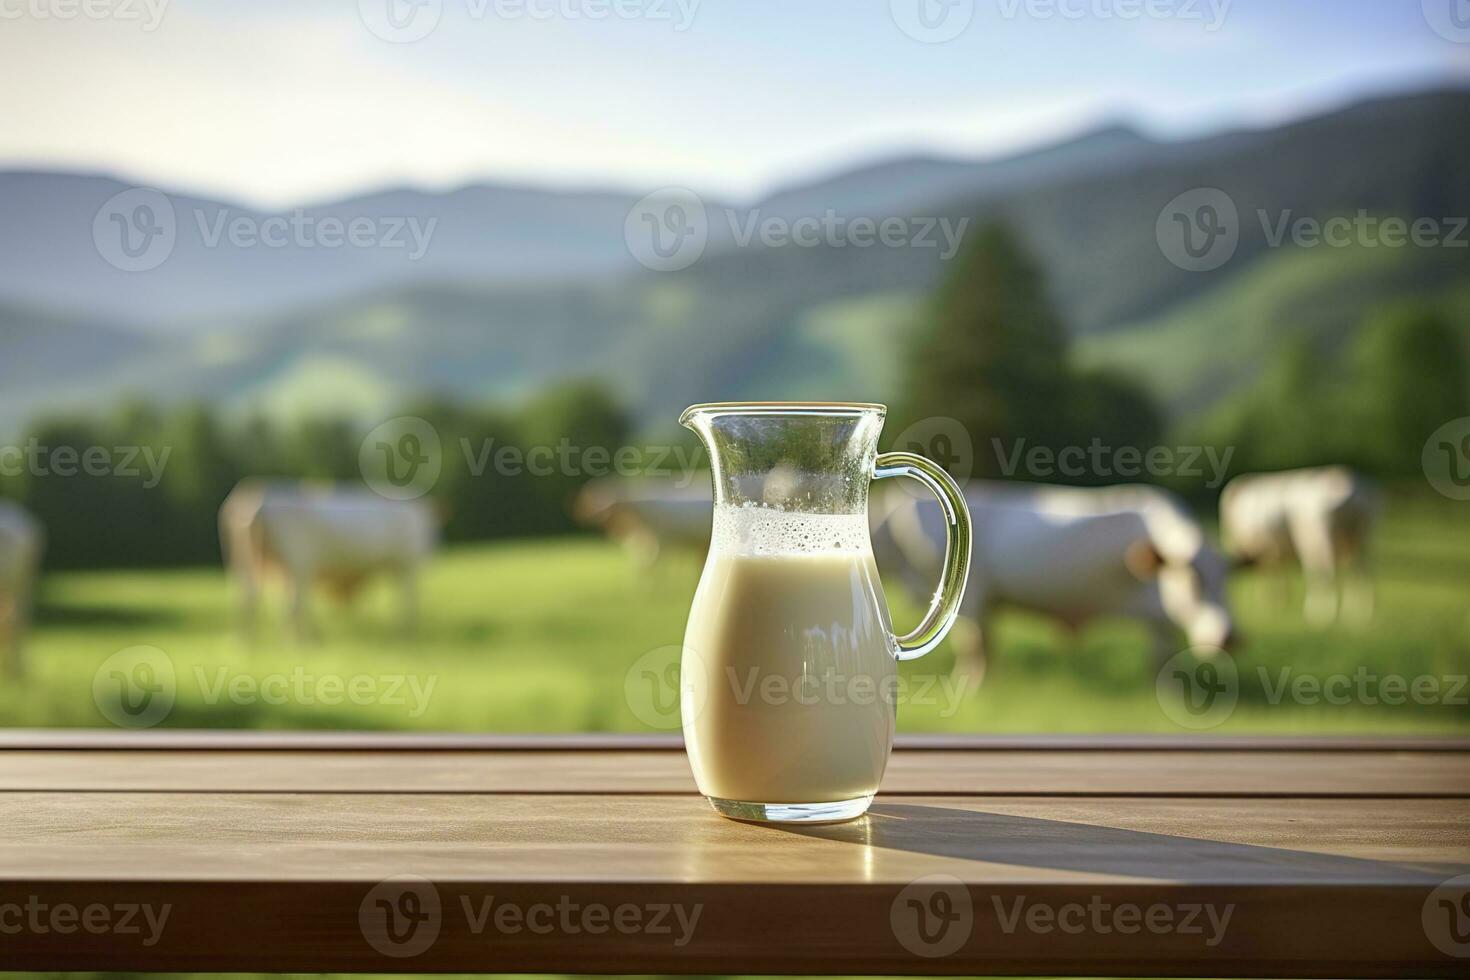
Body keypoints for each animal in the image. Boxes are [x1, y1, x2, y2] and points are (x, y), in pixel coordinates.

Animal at [217, 481, 435, 643]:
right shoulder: (409, 563)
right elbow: (408, 599)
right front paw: (407, 630)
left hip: (246, 562)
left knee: (249, 596)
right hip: (298, 561)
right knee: (291, 602)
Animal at [870, 481, 1240, 681]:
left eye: (1228, 580)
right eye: (1192, 580)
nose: (1229, 637)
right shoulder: (977, 597)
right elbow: (979, 646)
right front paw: (976, 686)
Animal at [1217, 464, 1375, 625]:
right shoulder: (1275, 551)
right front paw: (1280, 601)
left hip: (1320, 540)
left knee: (1325, 571)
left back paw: (1322, 612)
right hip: (1360, 539)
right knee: (1362, 570)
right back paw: (1360, 610)